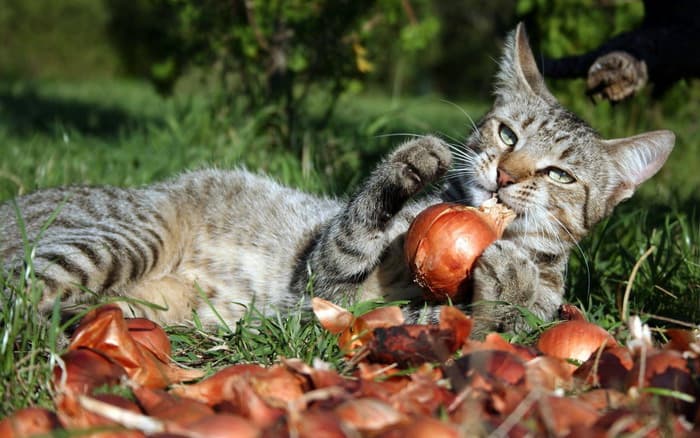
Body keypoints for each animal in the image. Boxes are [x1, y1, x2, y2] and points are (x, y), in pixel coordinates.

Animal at [2, 24, 676, 336]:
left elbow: (496, 325)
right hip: (119, 239)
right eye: (508, 135)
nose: (506, 178)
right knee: (19, 295)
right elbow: (352, 233)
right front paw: (409, 164)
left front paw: (508, 286)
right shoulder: (323, 286)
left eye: (560, 173)